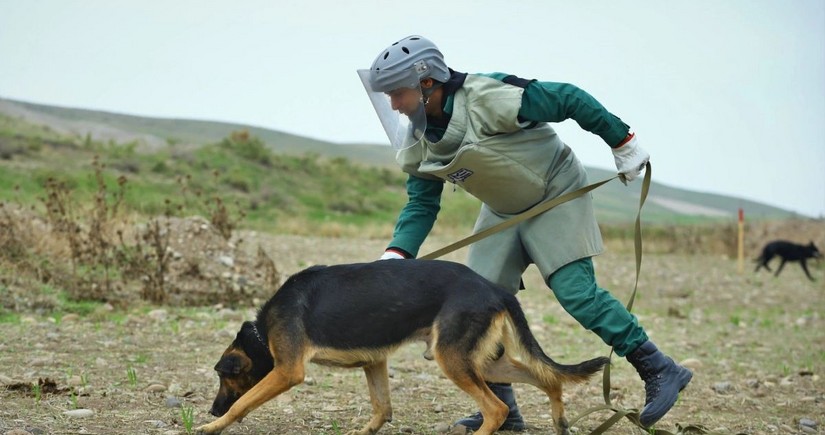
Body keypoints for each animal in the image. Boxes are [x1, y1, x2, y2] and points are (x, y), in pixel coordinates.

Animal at [196, 260, 608, 434]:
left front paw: (213, 426)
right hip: (485, 362)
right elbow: (382, 407)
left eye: (221, 376)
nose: (212, 408)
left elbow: (244, 403)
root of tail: (494, 289)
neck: (262, 330)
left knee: (496, 409)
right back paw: (560, 421)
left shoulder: (288, 371)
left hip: (452, 359)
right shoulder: (373, 362)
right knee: (548, 379)